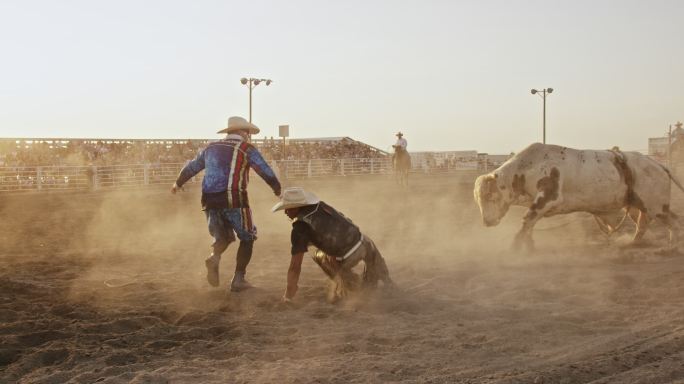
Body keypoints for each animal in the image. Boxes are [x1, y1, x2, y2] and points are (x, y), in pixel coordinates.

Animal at [472, 142, 680, 250]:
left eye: (491, 196)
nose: (486, 222)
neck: (527, 167)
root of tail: (658, 165)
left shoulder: (547, 198)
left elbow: (527, 220)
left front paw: (515, 247)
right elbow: (530, 224)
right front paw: (529, 245)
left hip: (656, 205)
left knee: (673, 220)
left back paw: (674, 245)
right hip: (636, 204)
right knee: (642, 223)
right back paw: (633, 242)